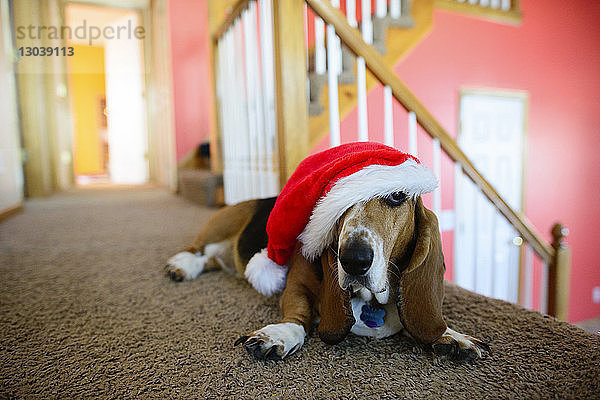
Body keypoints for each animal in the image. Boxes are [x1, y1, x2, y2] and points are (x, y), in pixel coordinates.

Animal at [166, 195, 490, 362]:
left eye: (397, 196)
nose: (353, 260)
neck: (371, 301)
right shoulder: (296, 285)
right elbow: (298, 314)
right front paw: (280, 334)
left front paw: (452, 336)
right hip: (220, 226)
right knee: (198, 250)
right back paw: (181, 266)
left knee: (210, 259)